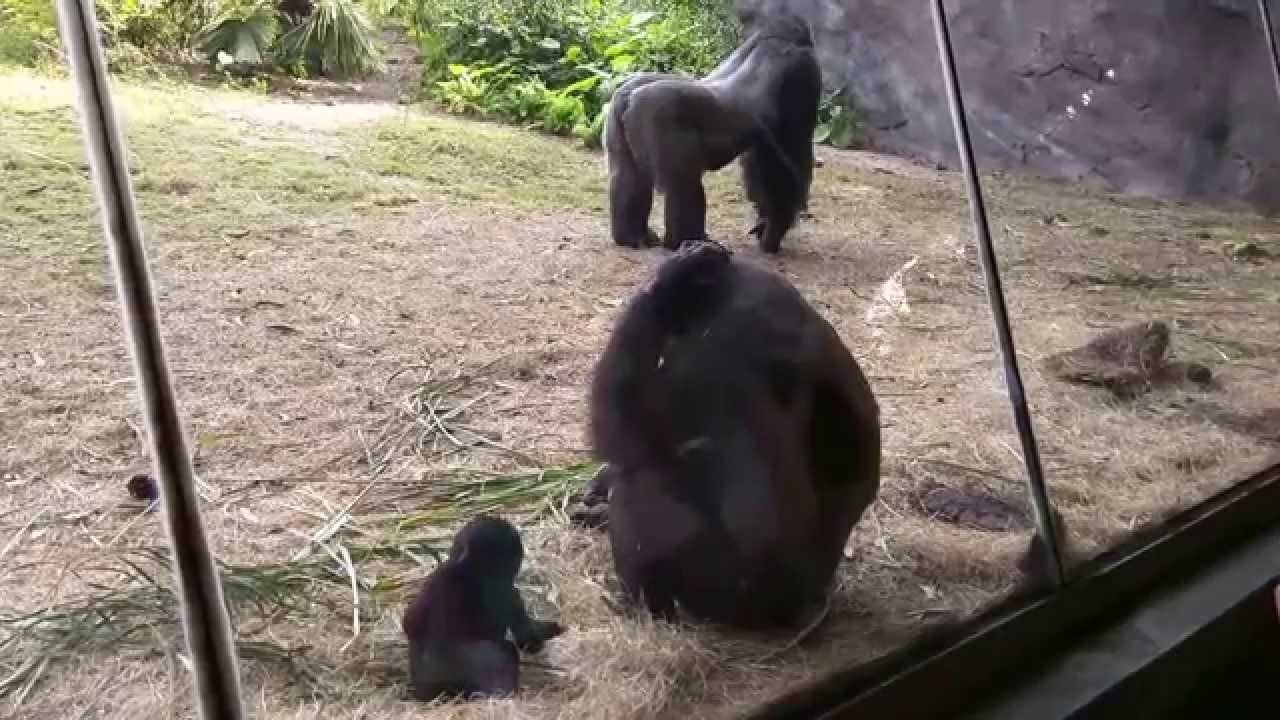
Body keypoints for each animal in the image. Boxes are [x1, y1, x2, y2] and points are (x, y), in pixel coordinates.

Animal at [401, 515, 564, 702]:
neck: (465, 566)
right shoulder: (505, 590)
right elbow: (527, 638)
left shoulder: (434, 577)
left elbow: (409, 621)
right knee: (505, 653)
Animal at [587, 239, 881, 630]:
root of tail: (804, 605)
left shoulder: (711, 349)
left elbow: (622, 435)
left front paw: (663, 285)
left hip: (719, 598)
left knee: (642, 478)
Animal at [603, 12, 822, 254]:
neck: (776, 39)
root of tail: (629, 98)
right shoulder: (804, 70)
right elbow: (791, 162)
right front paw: (775, 228)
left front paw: (767, 224)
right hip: (656, 115)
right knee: (685, 183)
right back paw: (687, 242)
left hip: (616, 109)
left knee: (627, 175)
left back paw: (631, 236)